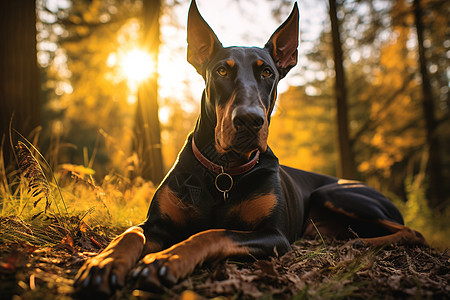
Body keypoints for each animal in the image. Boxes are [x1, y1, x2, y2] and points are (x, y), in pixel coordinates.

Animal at [74, 0, 426, 296]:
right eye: (221, 70)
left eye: (267, 71)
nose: (249, 121)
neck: (224, 169)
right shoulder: (158, 223)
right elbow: (131, 233)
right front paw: (103, 263)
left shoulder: (273, 234)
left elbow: (213, 232)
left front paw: (166, 260)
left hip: (336, 193)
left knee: (413, 232)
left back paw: (360, 242)